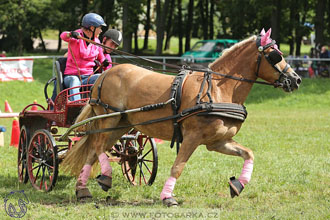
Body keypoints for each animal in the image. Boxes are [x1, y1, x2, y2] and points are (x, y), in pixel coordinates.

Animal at [62, 28, 302, 206]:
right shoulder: (192, 138)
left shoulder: (218, 142)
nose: (296, 79)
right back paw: (100, 179)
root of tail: (105, 73)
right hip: (109, 118)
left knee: (96, 150)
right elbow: (178, 167)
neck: (217, 89)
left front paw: (238, 185)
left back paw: (85, 188)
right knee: (96, 147)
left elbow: (248, 153)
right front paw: (168, 197)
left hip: (120, 124)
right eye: (276, 54)